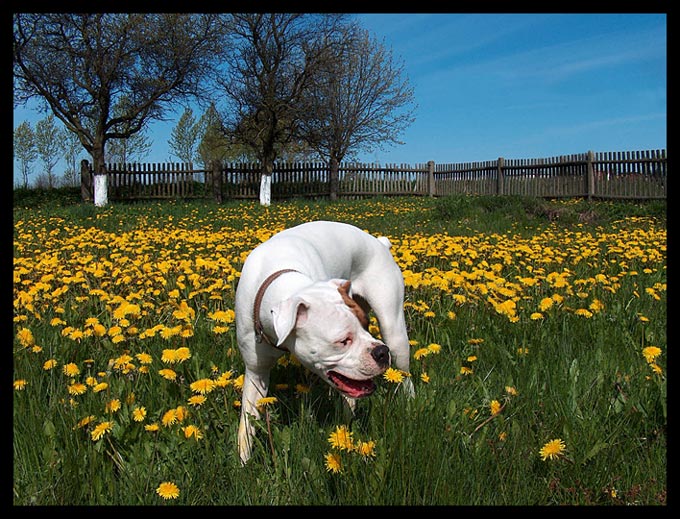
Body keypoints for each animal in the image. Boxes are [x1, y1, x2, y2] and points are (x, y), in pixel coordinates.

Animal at [236, 221, 412, 466]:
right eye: (343, 341)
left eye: (366, 325)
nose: (380, 352)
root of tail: (379, 242)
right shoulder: (255, 373)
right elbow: (247, 422)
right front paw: (243, 463)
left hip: (394, 333)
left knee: (404, 375)